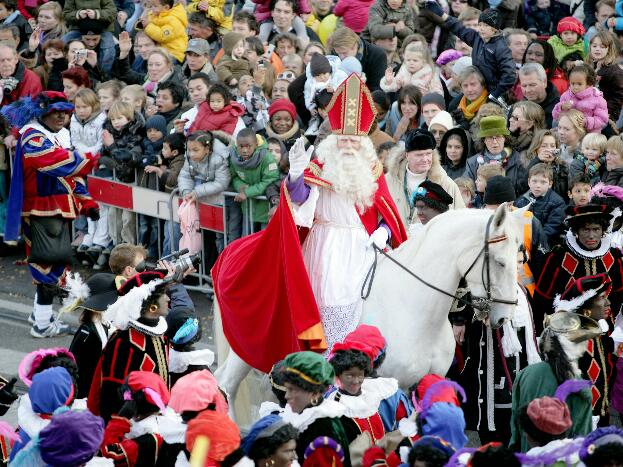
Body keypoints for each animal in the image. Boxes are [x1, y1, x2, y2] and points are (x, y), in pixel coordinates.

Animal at [214, 205, 520, 420]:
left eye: (520, 258)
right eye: (500, 262)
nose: (504, 317)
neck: (412, 307)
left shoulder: (428, 382)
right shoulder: (388, 386)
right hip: (246, 349)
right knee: (226, 384)